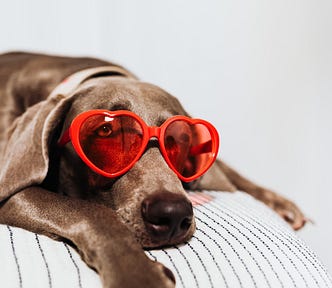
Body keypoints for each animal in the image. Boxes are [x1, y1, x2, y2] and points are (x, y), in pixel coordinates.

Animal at [0, 52, 306, 288]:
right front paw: (137, 273)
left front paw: (282, 204)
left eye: (181, 140)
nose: (171, 215)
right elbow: (89, 211)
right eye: (106, 131)